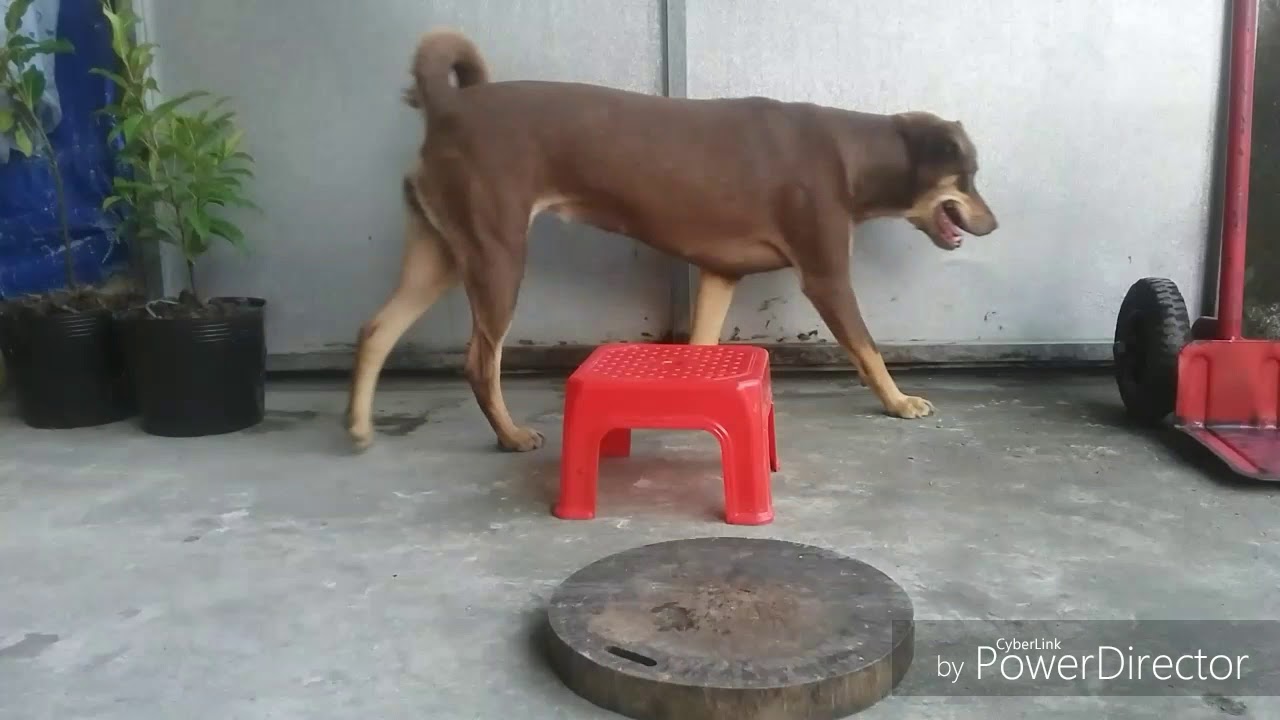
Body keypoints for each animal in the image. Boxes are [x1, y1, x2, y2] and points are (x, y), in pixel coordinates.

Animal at [345, 32, 993, 448]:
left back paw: (358, 426)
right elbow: (868, 347)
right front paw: (899, 402)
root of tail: (447, 107)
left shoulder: (720, 274)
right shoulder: (827, 276)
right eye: (968, 175)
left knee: (377, 329)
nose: (994, 224)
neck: (854, 155)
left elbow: (702, 346)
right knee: (481, 361)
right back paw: (509, 436)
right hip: (498, 253)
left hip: (441, 251)